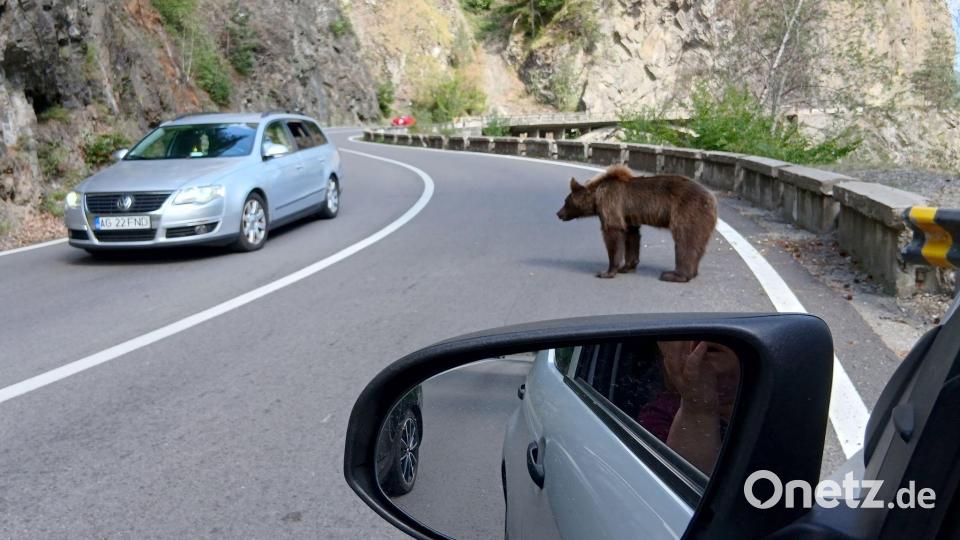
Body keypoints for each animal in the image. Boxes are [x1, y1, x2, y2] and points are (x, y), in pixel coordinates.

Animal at [556, 164, 717, 282]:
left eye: (565, 201)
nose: (558, 213)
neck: (596, 197)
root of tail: (711, 199)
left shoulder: (611, 204)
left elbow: (613, 234)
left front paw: (606, 272)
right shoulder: (628, 216)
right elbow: (631, 237)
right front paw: (627, 267)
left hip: (687, 211)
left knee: (685, 240)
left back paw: (674, 275)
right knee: (697, 244)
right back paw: (691, 272)